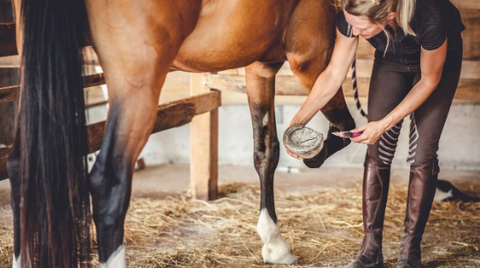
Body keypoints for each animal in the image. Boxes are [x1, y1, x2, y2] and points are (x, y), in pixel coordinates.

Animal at [6, 1, 352, 266]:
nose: (312, 160)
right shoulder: (311, 54)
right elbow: (338, 119)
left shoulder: (260, 65)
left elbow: (265, 150)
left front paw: (273, 243)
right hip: (136, 87)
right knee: (107, 186)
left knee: (21, 168)